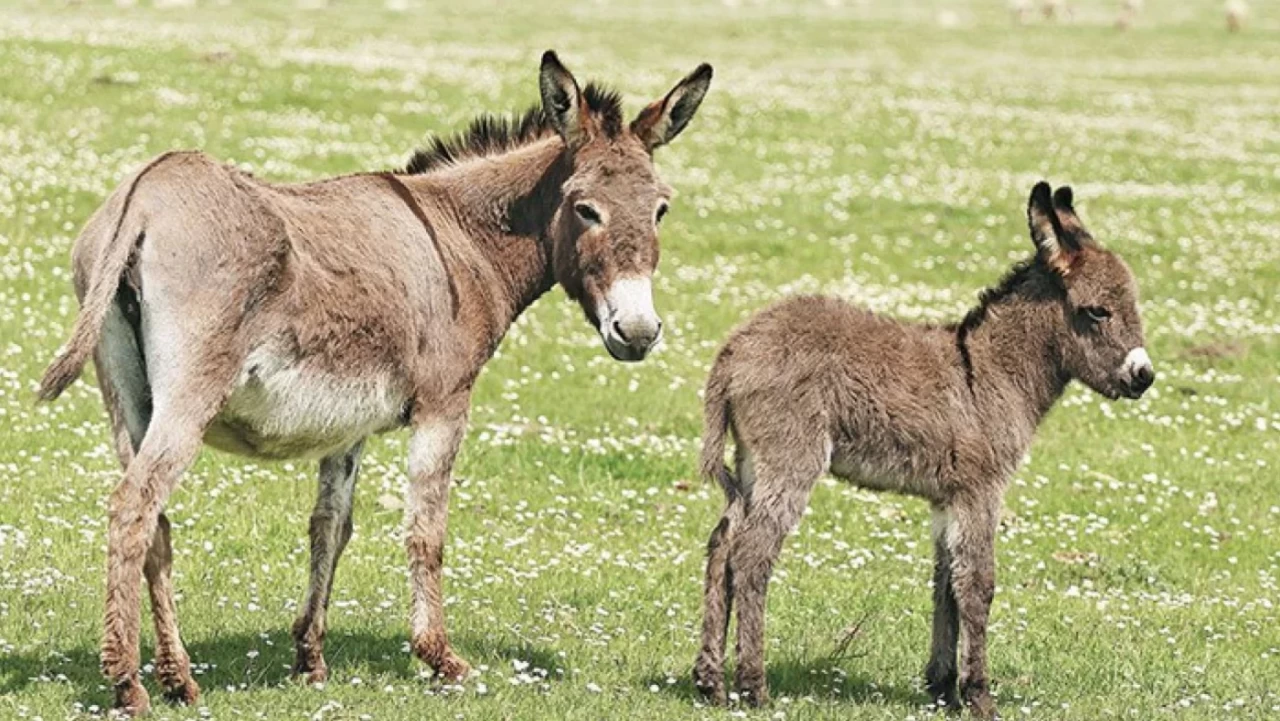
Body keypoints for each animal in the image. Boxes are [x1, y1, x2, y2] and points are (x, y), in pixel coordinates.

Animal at [696, 181, 1157, 717]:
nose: (1143, 377)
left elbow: (946, 584)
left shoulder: (947, 498)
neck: (989, 370)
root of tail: (733, 352)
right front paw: (979, 697)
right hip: (790, 459)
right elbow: (978, 585)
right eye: (1097, 311)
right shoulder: (981, 490)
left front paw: (943, 689)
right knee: (751, 555)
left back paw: (710, 682)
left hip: (752, 462)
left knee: (722, 546)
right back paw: (753, 686)